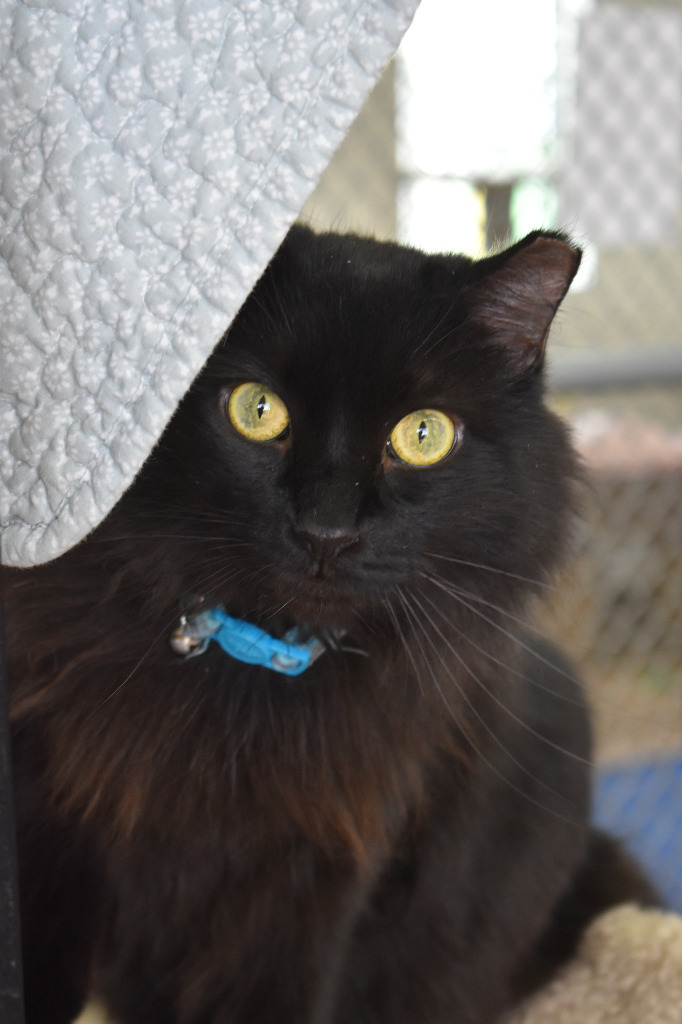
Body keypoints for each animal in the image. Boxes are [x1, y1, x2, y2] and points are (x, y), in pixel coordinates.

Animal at [2, 228, 651, 1019]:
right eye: (257, 409)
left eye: (425, 434)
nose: (326, 532)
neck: (250, 669)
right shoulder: (48, 822)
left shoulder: (318, 876)